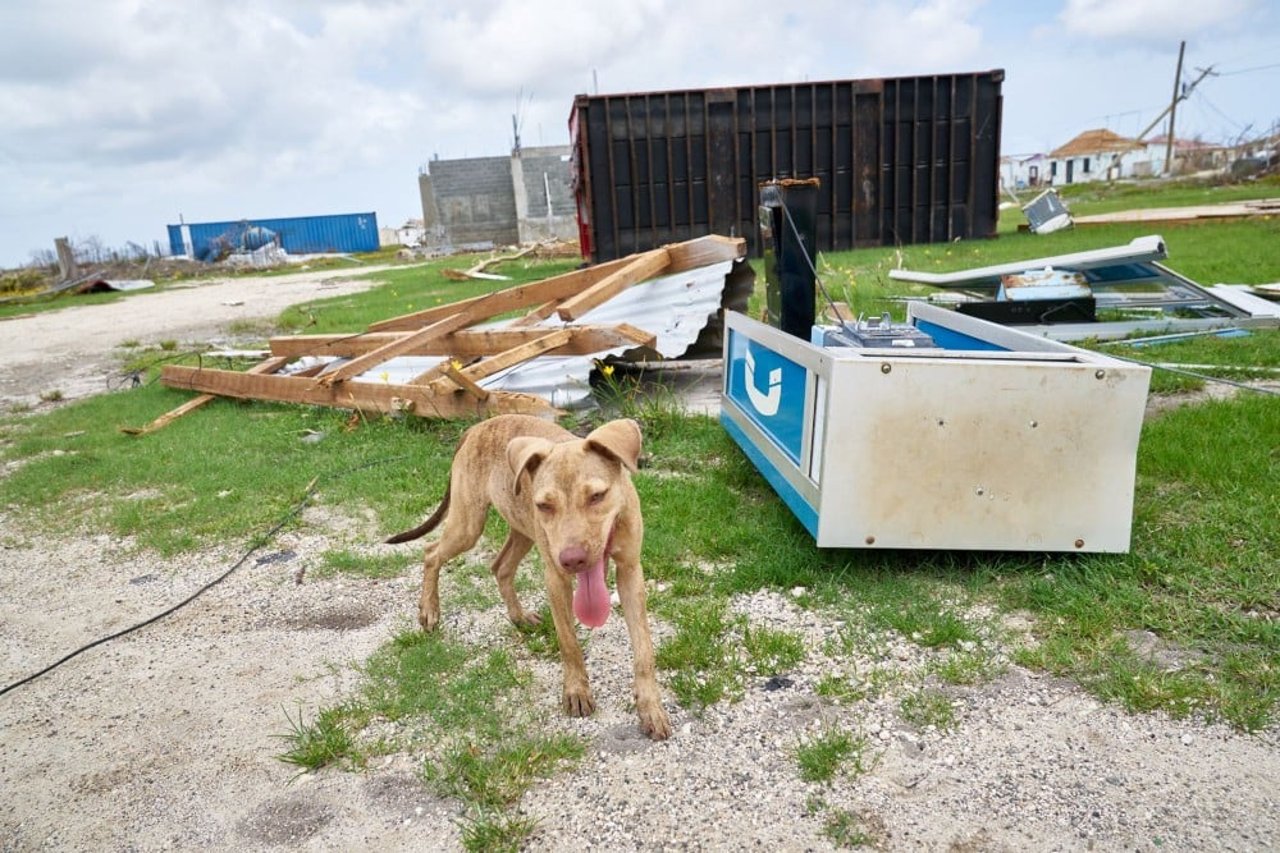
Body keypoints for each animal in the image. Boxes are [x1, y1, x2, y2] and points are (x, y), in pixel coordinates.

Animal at [386, 412, 670, 737]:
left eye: (597, 496)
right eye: (545, 505)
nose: (572, 560)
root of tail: (477, 427)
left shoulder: (630, 572)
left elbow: (644, 650)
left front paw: (650, 708)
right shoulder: (556, 579)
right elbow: (569, 642)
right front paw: (576, 691)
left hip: (521, 530)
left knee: (500, 567)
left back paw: (518, 616)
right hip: (468, 526)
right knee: (431, 553)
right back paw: (429, 610)